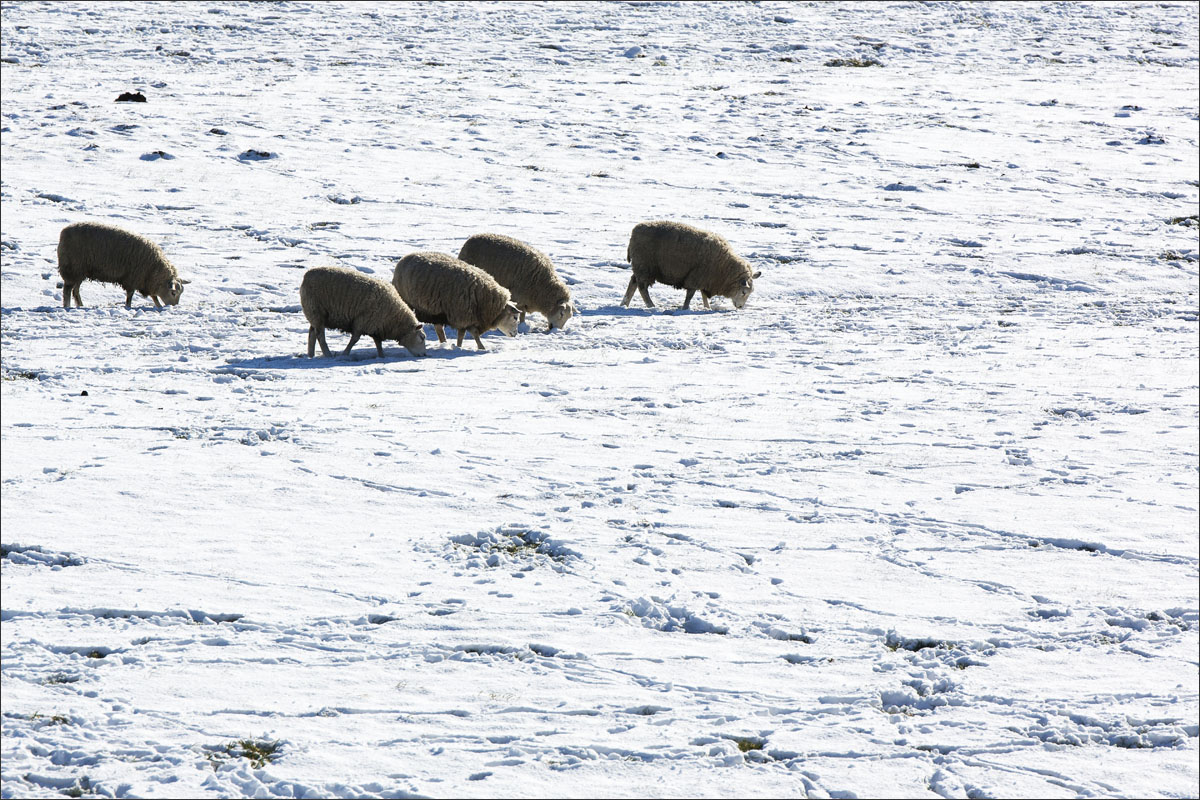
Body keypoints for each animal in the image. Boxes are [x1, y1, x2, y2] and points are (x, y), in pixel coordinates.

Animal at [57, 221, 191, 309]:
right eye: (173, 293)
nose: (174, 306)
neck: (154, 268)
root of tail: (64, 232)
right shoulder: (133, 279)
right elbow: (130, 296)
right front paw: (128, 307)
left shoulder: (147, 282)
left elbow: (154, 297)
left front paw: (158, 307)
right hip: (72, 268)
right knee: (67, 290)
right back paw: (67, 306)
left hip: (80, 271)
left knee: (75, 290)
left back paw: (80, 305)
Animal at [391, 252, 520, 350]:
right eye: (515, 317)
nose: (515, 334)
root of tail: (404, 258)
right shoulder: (463, 316)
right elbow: (471, 334)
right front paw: (479, 347)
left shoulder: (466, 317)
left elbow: (463, 334)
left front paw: (459, 346)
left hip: (436, 311)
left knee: (439, 328)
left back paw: (443, 342)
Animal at [621, 220, 761, 311]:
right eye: (743, 292)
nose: (740, 307)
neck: (724, 267)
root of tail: (634, 231)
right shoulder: (696, 277)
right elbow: (691, 295)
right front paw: (686, 308)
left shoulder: (706, 278)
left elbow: (703, 294)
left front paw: (707, 307)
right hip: (645, 267)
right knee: (642, 288)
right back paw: (651, 305)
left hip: (641, 267)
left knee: (633, 282)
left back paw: (624, 304)